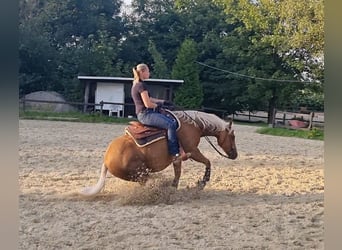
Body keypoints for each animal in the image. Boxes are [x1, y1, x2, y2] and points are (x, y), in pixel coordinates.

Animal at [79, 110, 238, 196]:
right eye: (233, 136)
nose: (235, 154)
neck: (194, 125)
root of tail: (106, 160)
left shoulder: (178, 158)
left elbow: (178, 172)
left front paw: (174, 187)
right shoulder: (192, 151)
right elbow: (207, 162)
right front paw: (201, 183)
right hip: (140, 173)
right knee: (147, 181)